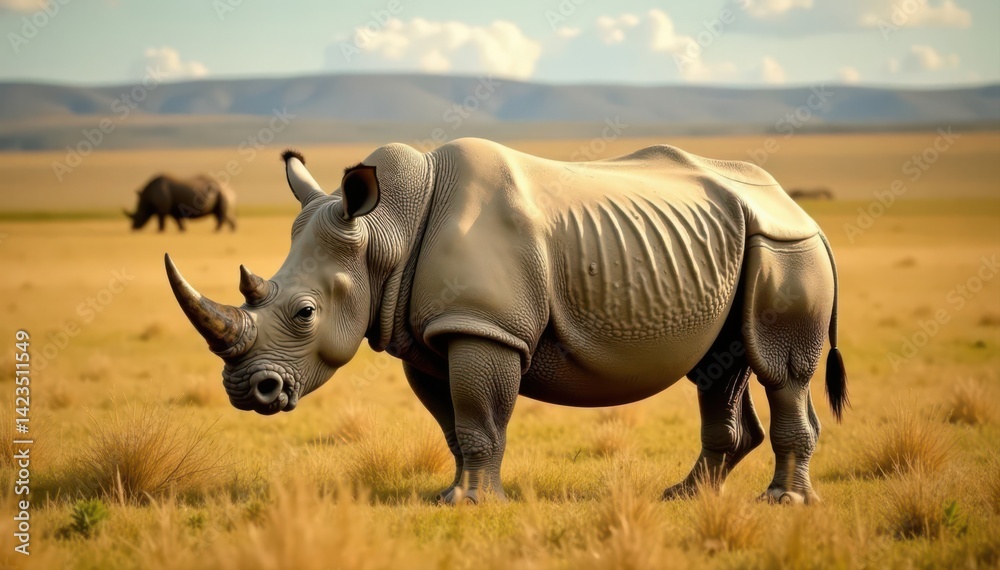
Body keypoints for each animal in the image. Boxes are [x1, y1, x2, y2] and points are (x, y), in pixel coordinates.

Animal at [165, 139, 848, 505]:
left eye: (305, 314)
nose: (247, 392)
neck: (386, 231)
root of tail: (796, 205)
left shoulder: (483, 326)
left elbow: (478, 415)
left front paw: (469, 504)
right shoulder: (430, 333)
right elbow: (454, 423)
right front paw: (454, 495)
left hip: (785, 246)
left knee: (778, 370)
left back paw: (783, 502)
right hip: (739, 242)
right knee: (719, 368)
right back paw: (684, 496)